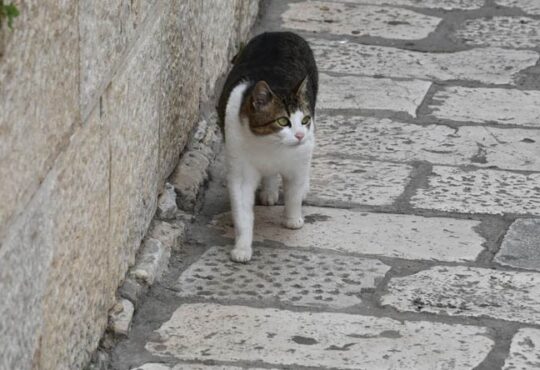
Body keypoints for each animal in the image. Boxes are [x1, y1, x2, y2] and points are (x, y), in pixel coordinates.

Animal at [216, 31, 316, 264]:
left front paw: (293, 219)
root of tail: (280, 33)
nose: (300, 135)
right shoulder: (240, 171)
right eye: (282, 121)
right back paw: (269, 191)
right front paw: (242, 248)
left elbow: (293, 193)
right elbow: (242, 212)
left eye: (305, 120)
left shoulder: (298, 160)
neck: (269, 145)